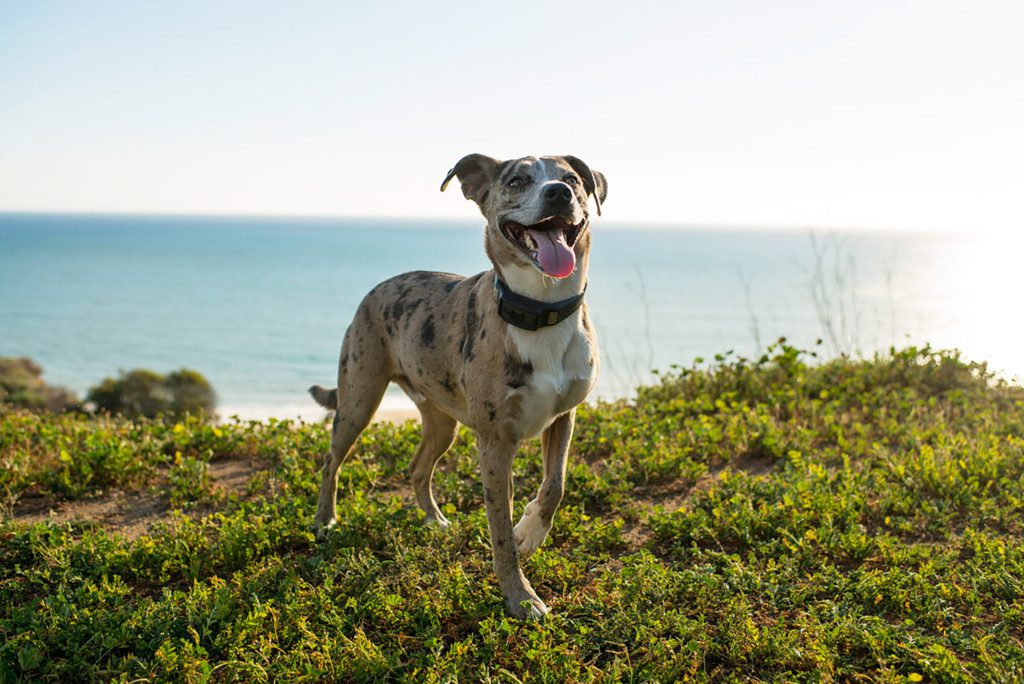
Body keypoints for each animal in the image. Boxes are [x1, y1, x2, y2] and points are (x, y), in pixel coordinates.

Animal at [303, 154, 606, 618]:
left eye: (572, 179)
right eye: (516, 180)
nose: (558, 192)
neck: (540, 310)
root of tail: (377, 288)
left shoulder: (564, 416)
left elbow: (554, 487)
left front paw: (529, 532)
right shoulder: (495, 443)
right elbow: (499, 530)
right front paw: (519, 596)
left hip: (442, 420)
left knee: (417, 467)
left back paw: (434, 521)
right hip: (357, 400)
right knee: (330, 461)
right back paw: (325, 521)